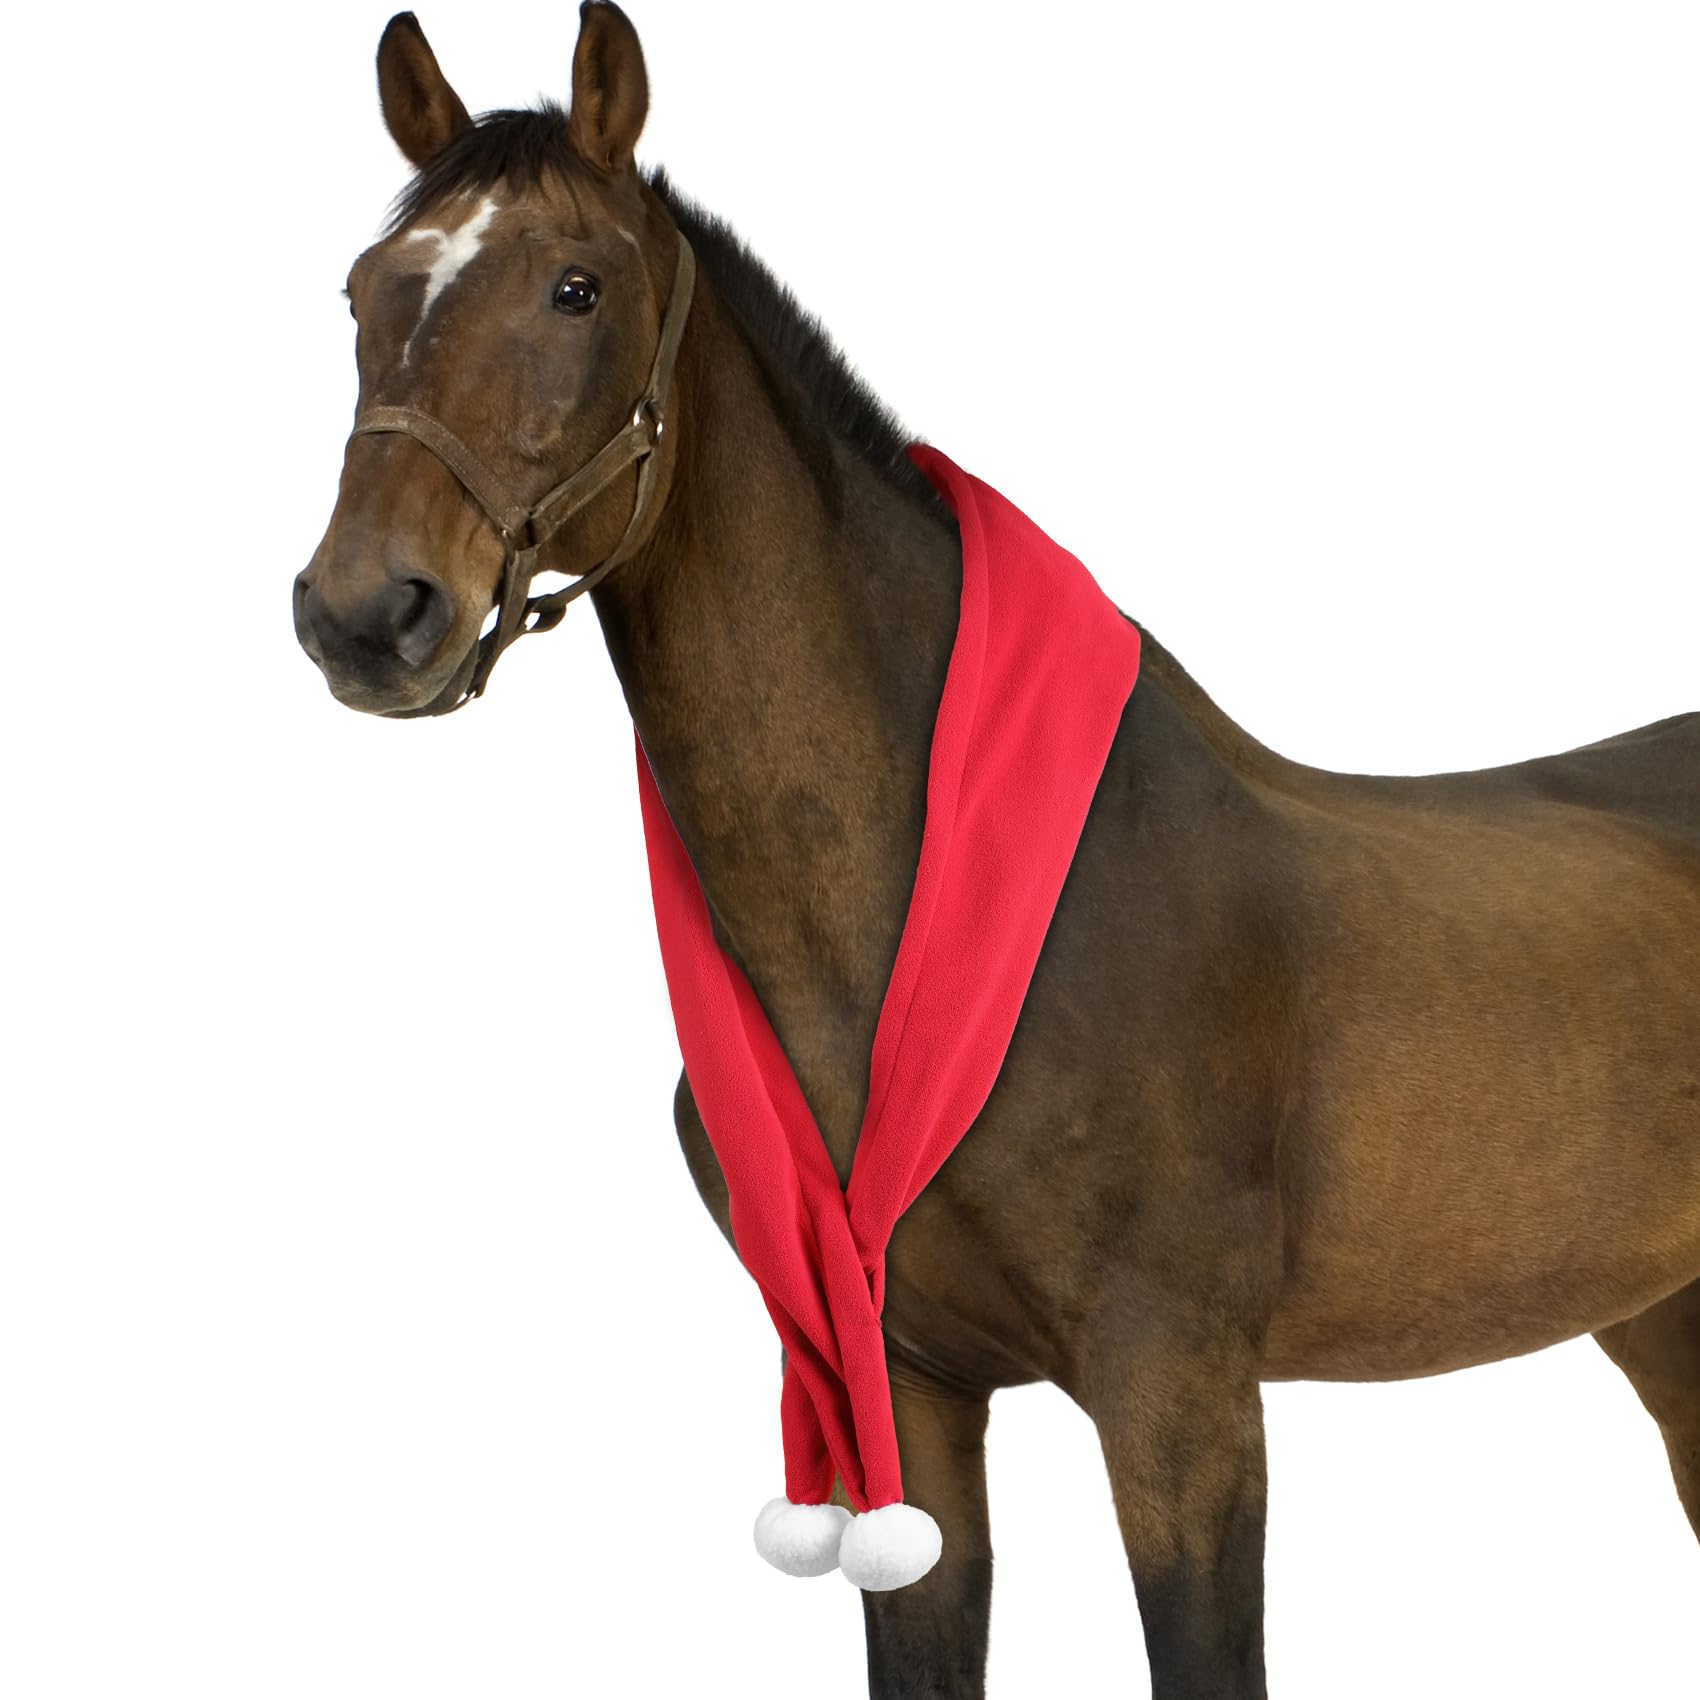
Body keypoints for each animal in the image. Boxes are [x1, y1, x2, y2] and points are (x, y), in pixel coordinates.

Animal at [293, 6, 1700, 1695]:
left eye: (578, 285)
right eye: (365, 291)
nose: (366, 614)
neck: (942, 919)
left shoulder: (1182, 1403)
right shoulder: (900, 1394)